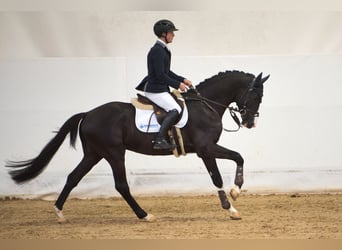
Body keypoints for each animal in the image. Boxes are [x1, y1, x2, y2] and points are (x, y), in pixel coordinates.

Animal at [4, 70, 268, 221]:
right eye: (256, 96)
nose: (249, 122)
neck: (205, 105)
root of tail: (88, 114)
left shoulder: (205, 150)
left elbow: (232, 163)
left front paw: (233, 198)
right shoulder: (205, 149)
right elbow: (226, 168)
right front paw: (233, 201)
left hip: (94, 154)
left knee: (73, 177)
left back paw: (59, 213)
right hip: (113, 153)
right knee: (121, 185)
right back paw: (144, 215)